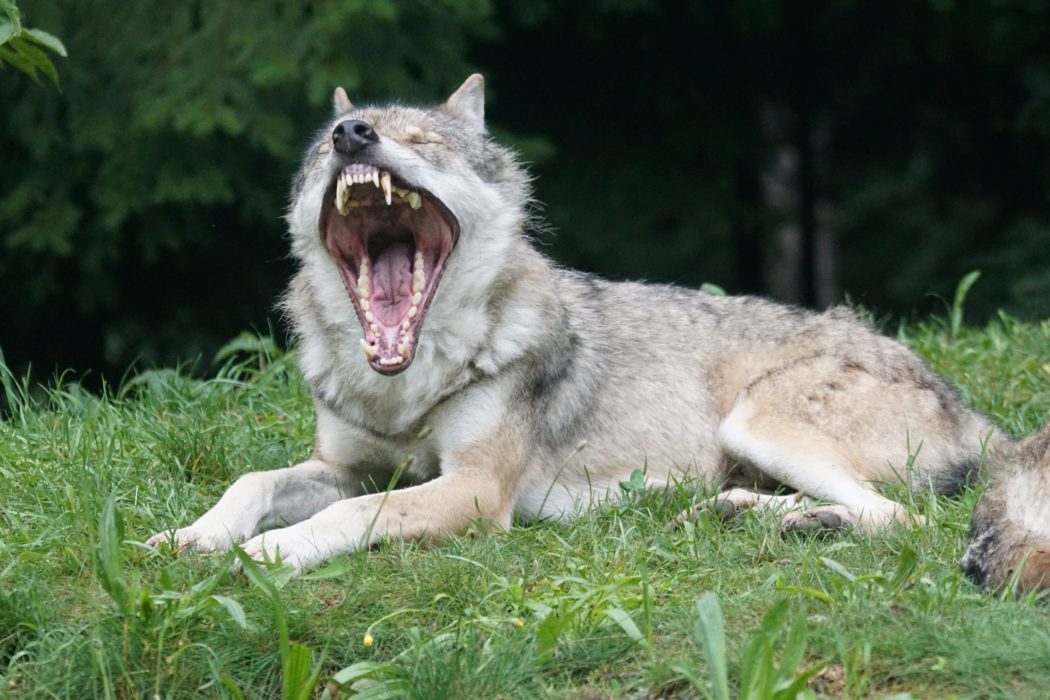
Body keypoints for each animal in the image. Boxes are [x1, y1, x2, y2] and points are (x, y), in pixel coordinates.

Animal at [148, 75, 1050, 591]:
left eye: (422, 140)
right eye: (326, 151)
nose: (352, 136)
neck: (406, 383)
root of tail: (978, 413)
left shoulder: (471, 492)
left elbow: (343, 520)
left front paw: (262, 557)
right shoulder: (346, 466)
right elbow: (253, 483)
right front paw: (187, 536)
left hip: (758, 420)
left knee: (904, 520)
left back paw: (798, 525)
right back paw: (744, 514)